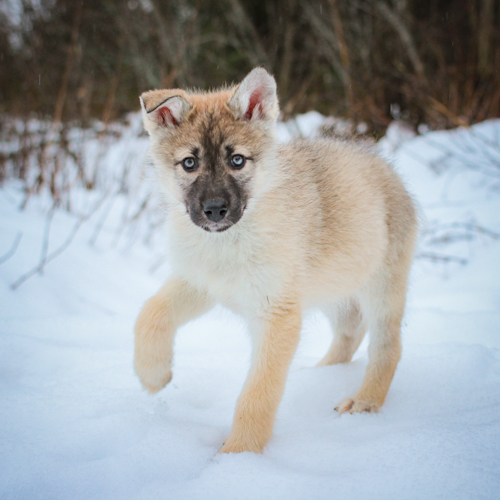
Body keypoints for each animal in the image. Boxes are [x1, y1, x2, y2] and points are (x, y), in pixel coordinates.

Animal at [134, 66, 418, 454]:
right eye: (189, 163)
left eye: (237, 160)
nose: (214, 210)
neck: (229, 242)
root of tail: (386, 168)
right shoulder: (201, 284)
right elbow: (150, 312)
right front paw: (154, 373)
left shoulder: (277, 315)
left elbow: (258, 394)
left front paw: (238, 454)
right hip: (332, 288)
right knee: (351, 330)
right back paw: (320, 373)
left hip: (381, 289)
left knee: (387, 346)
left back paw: (364, 402)